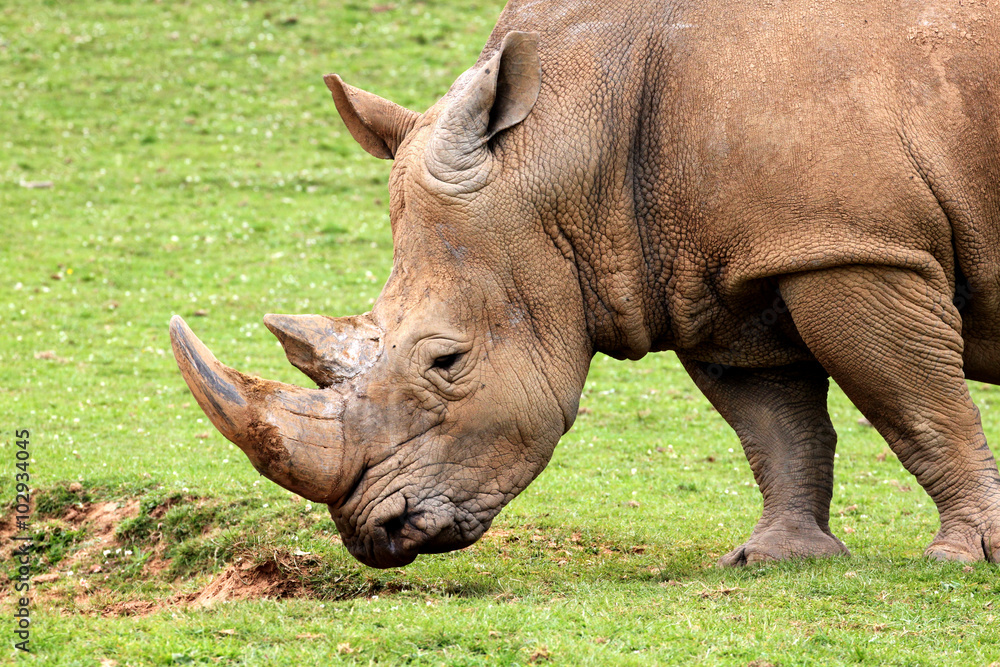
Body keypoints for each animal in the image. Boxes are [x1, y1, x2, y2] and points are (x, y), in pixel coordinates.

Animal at [170, 0, 1000, 568]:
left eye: (448, 361)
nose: (376, 529)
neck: (570, 137)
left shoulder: (854, 247)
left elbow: (918, 405)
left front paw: (966, 558)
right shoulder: (725, 270)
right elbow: (776, 425)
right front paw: (777, 558)